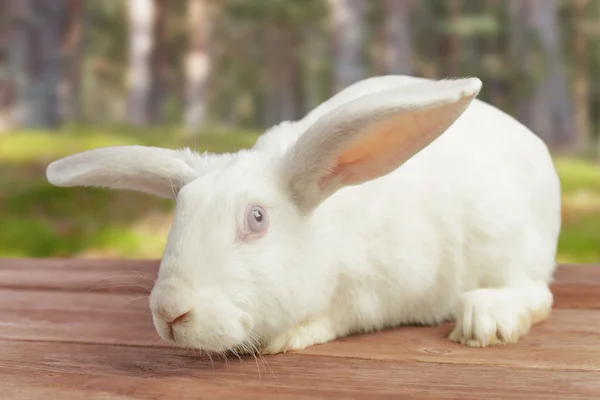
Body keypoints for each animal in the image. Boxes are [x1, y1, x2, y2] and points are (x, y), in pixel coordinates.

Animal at [47, 75, 564, 354]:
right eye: (182, 213)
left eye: (257, 219)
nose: (169, 313)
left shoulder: (379, 289)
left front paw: (288, 336)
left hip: (513, 247)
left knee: (536, 293)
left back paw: (485, 319)